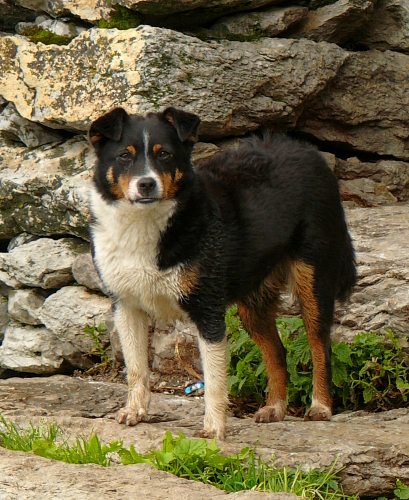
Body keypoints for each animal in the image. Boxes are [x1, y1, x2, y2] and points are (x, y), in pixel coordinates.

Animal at [88, 107, 354, 440]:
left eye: (164, 155)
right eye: (125, 155)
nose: (146, 184)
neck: (145, 226)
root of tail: (306, 150)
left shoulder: (209, 310)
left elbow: (214, 380)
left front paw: (213, 428)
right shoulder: (126, 306)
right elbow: (137, 369)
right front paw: (135, 411)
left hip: (312, 279)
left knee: (320, 345)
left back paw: (320, 406)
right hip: (253, 301)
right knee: (277, 351)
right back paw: (274, 408)